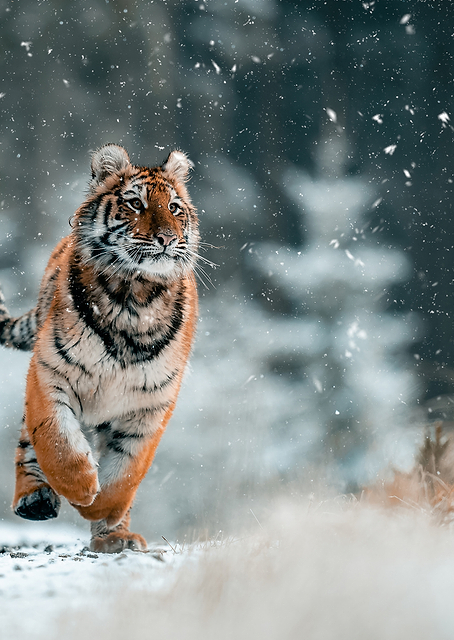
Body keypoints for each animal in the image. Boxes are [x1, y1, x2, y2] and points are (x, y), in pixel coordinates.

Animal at [0, 144, 199, 553]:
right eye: (136, 203)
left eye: (174, 208)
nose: (167, 239)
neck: (135, 296)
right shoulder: (50, 371)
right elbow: (57, 441)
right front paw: (81, 488)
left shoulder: (152, 404)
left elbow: (127, 471)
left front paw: (100, 509)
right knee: (28, 441)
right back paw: (35, 499)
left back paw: (117, 538)